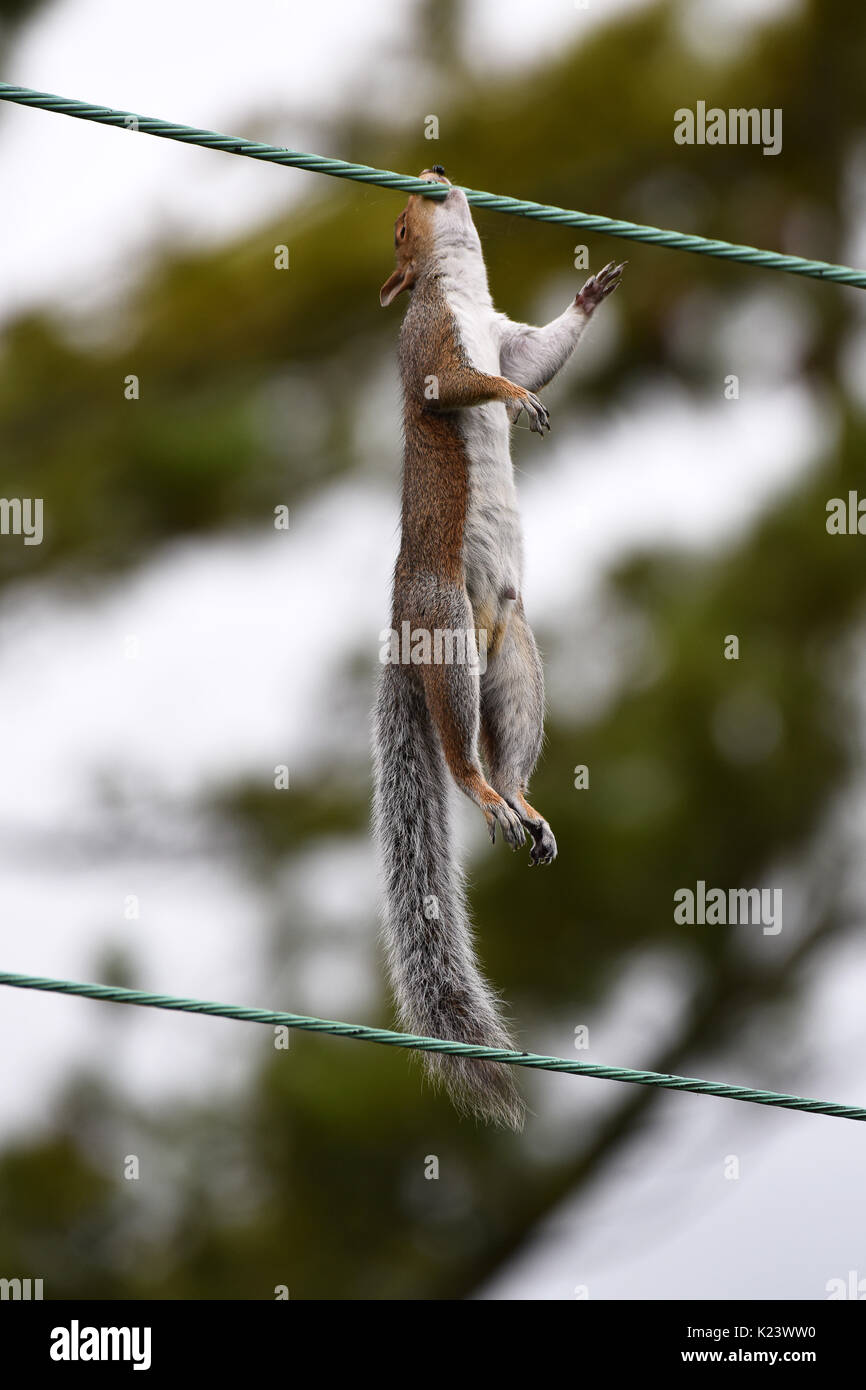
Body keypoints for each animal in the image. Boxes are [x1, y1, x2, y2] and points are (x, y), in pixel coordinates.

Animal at [373, 166, 624, 1129]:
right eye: (398, 227)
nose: (435, 173)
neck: (465, 291)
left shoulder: (508, 337)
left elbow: (538, 353)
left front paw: (590, 296)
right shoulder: (432, 344)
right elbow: (461, 383)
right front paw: (515, 407)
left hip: (513, 652)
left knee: (505, 741)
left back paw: (523, 802)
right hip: (446, 630)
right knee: (457, 748)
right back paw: (484, 792)